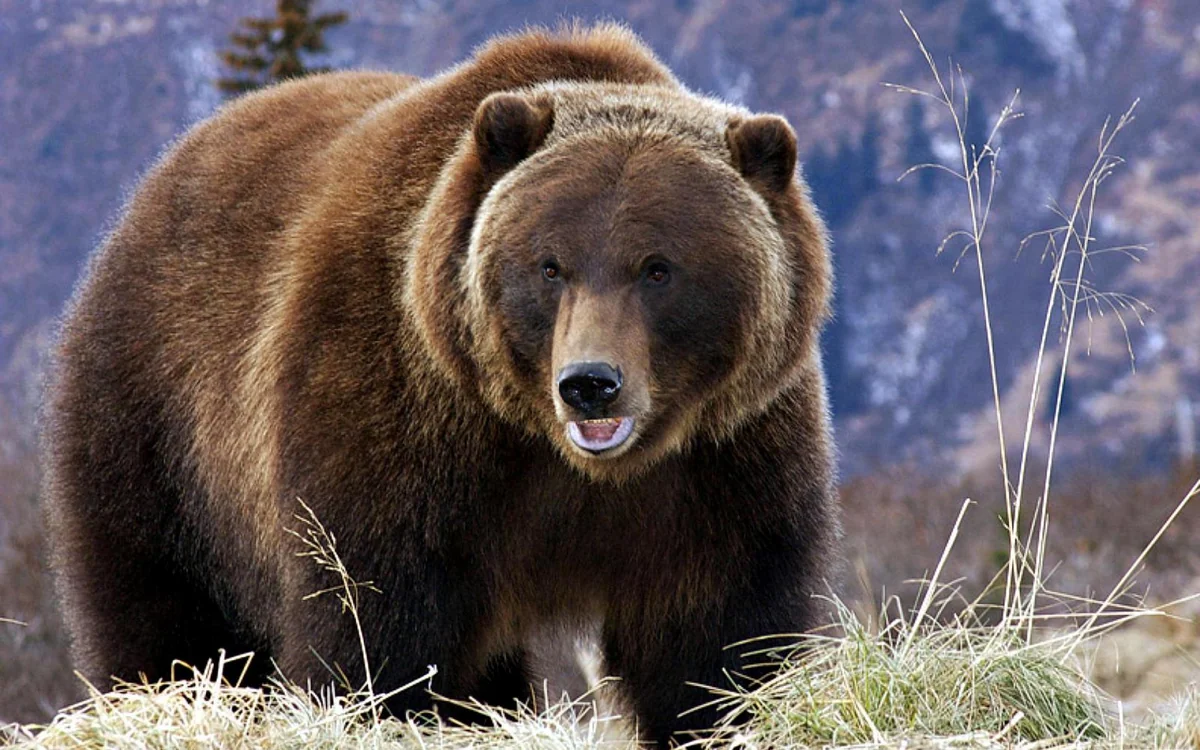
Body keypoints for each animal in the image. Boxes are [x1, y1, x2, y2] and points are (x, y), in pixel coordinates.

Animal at [42, 23, 839, 746]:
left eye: (658, 267)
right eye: (550, 265)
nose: (590, 384)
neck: (566, 461)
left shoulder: (721, 465)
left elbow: (719, 640)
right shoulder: (402, 430)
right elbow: (378, 631)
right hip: (158, 427)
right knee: (162, 615)